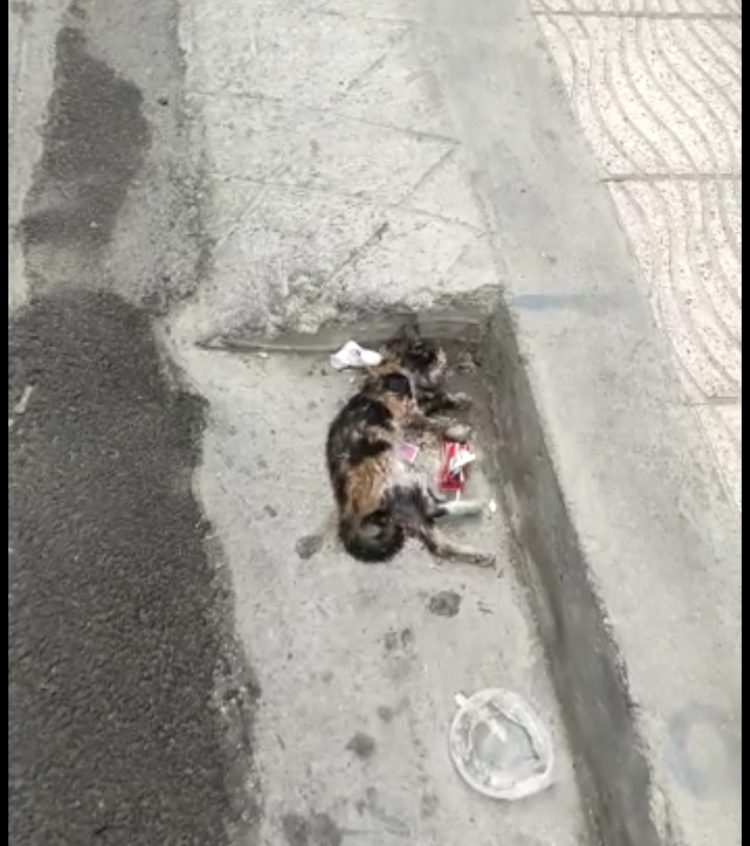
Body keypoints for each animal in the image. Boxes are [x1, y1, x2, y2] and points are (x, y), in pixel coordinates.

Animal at [325, 328, 495, 567]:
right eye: (436, 357)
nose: (444, 367)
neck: (395, 366)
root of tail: (347, 512)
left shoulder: (417, 406)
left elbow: (438, 401)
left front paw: (458, 399)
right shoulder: (408, 414)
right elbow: (436, 422)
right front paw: (458, 430)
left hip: (404, 496)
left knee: (437, 538)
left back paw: (477, 549)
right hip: (403, 477)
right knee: (432, 510)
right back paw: (473, 507)